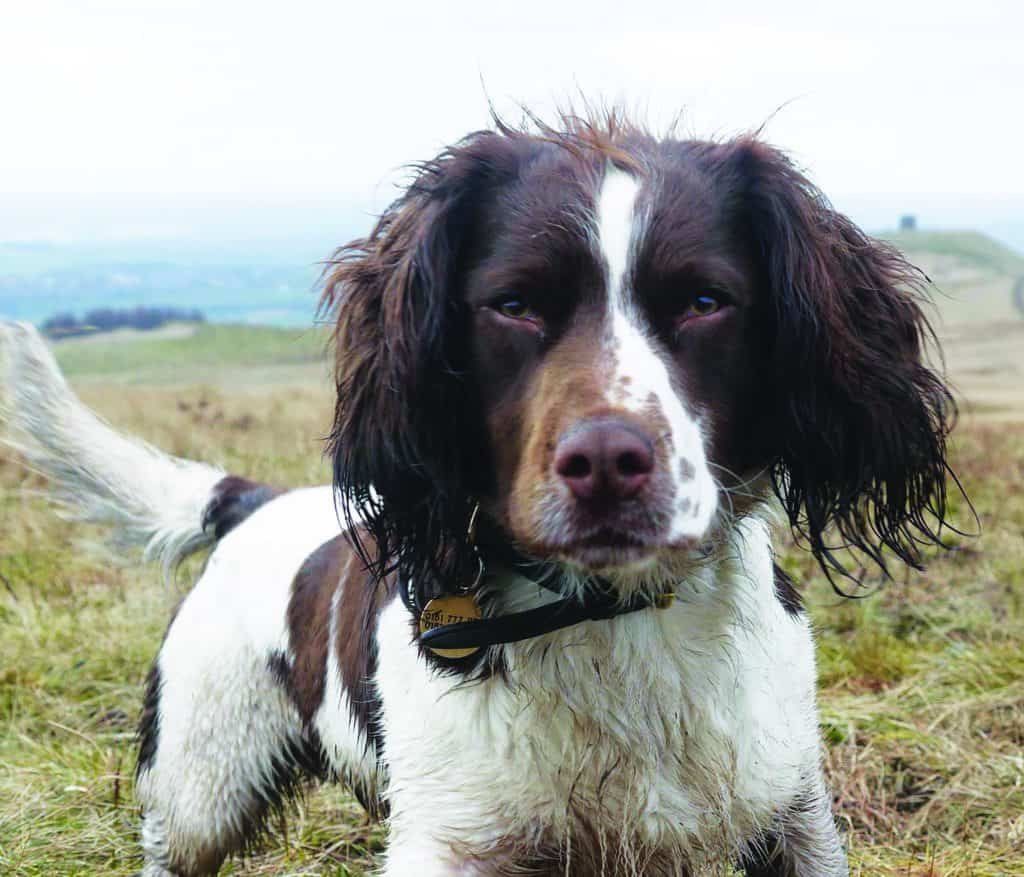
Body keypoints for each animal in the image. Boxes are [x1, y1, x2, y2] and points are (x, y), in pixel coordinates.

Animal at [4, 113, 954, 872]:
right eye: (515, 304)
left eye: (704, 300)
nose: (607, 460)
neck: (612, 618)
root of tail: (251, 502)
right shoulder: (454, 838)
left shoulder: (791, 812)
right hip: (199, 784)